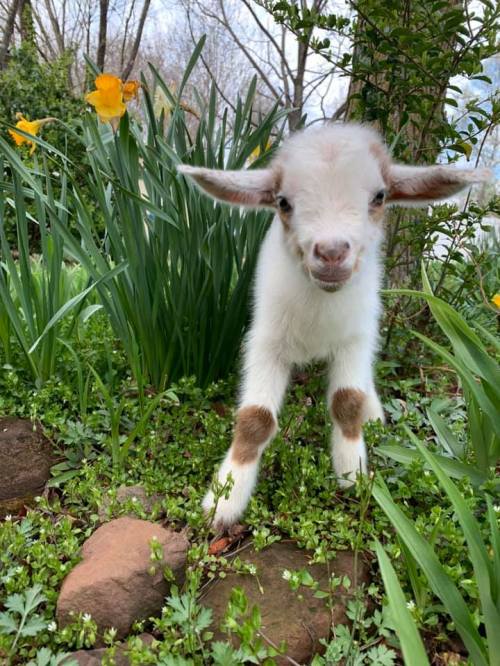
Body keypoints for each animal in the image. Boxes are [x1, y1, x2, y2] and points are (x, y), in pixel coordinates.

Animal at [179, 123, 489, 528]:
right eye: (283, 202)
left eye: (379, 196)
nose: (331, 253)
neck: (320, 305)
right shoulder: (266, 342)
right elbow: (255, 420)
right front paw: (223, 501)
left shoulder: (355, 340)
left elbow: (346, 402)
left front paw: (350, 473)